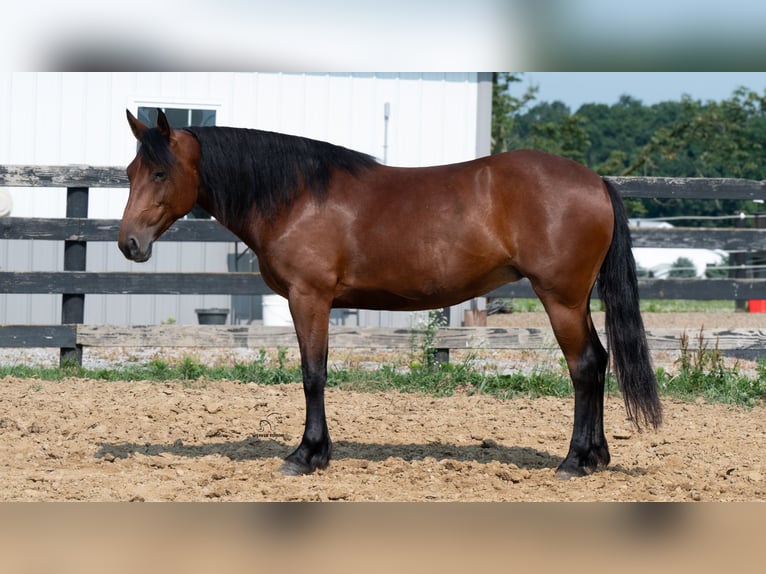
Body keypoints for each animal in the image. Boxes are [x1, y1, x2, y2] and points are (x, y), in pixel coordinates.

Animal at [119, 109, 662, 479]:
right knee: (599, 361)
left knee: (584, 366)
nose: (129, 243)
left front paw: (306, 454)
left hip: (561, 299)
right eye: (129, 173)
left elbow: (313, 375)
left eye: (161, 173)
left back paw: (573, 460)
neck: (297, 197)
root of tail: (594, 181)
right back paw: (595, 456)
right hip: (575, 300)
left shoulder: (309, 298)